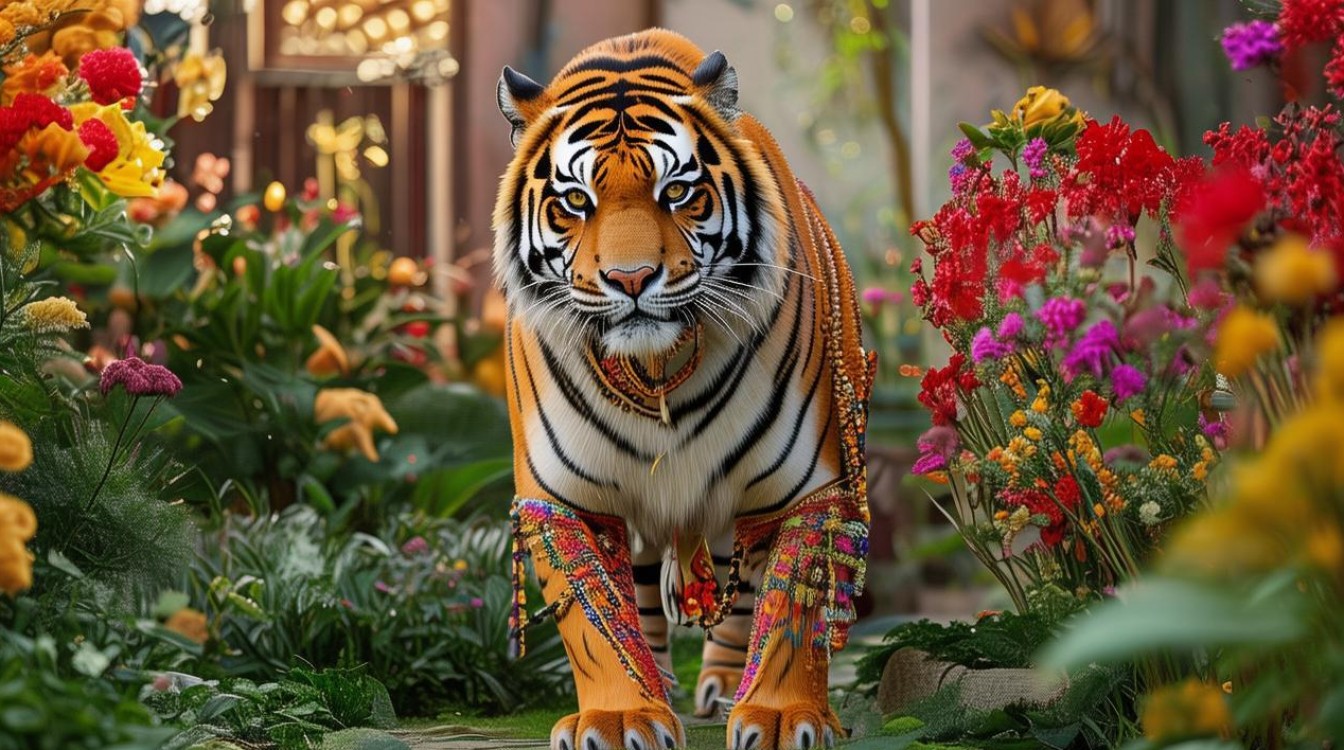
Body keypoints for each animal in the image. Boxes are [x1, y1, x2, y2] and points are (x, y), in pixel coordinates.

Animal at [493, 28, 874, 750]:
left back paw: (723, 687)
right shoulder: (564, 499)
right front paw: (620, 717)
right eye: (575, 201)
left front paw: (782, 716)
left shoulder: (809, 490)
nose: (631, 278)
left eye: (676, 192)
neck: (657, 372)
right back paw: (664, 685)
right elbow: (594, 624)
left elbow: (792, 612)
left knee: (743, 588)